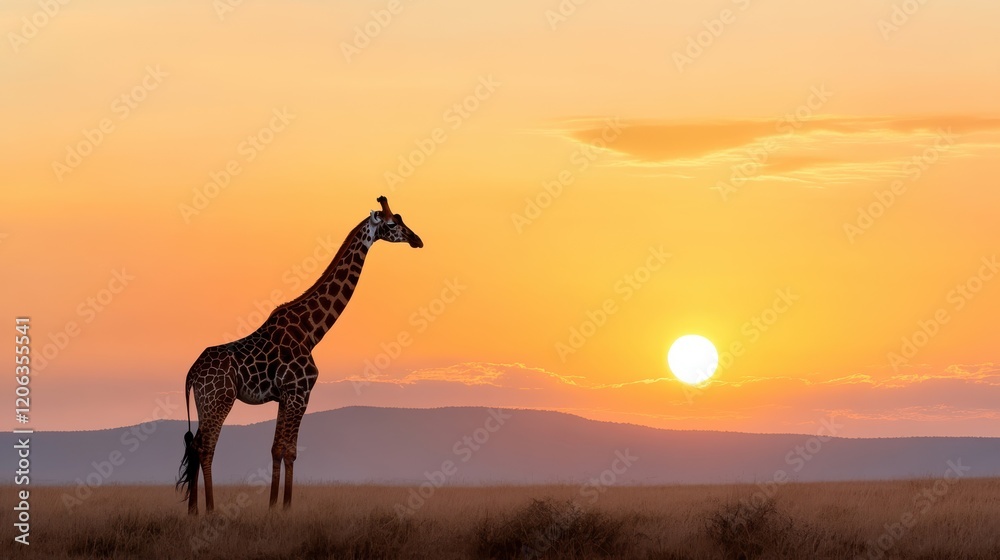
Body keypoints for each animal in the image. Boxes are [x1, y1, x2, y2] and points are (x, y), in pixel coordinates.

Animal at [177, 196, 423, 514]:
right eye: (393, 224)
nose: (417, 240)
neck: (311, 331)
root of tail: (191, 374)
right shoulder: (300, 392)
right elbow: (290, 450)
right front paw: (285, 507)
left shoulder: (286, 395)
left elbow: (276, 449)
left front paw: (273, 505)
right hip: (220, 399)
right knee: (206, 448)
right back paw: (209, 508)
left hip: (203, 402)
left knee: (194, 446)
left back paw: (193, 510)